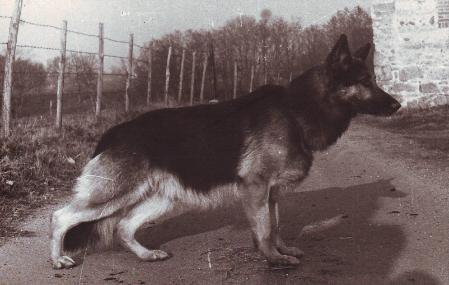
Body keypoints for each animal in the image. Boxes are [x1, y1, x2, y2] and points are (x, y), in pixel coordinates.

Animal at [49, 34, 400, 268]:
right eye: (364, 81)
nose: (398, 105)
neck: (297, 110)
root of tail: (112, 132)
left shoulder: (272, 193)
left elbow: (275, 226)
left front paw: (282, 251)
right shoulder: (256, 188)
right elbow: (264, 229)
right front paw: (273, 259)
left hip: (162, 198)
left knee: (122, 227)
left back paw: (147, 254)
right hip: (113, 194)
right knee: (60, 217)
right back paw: (59, 260)